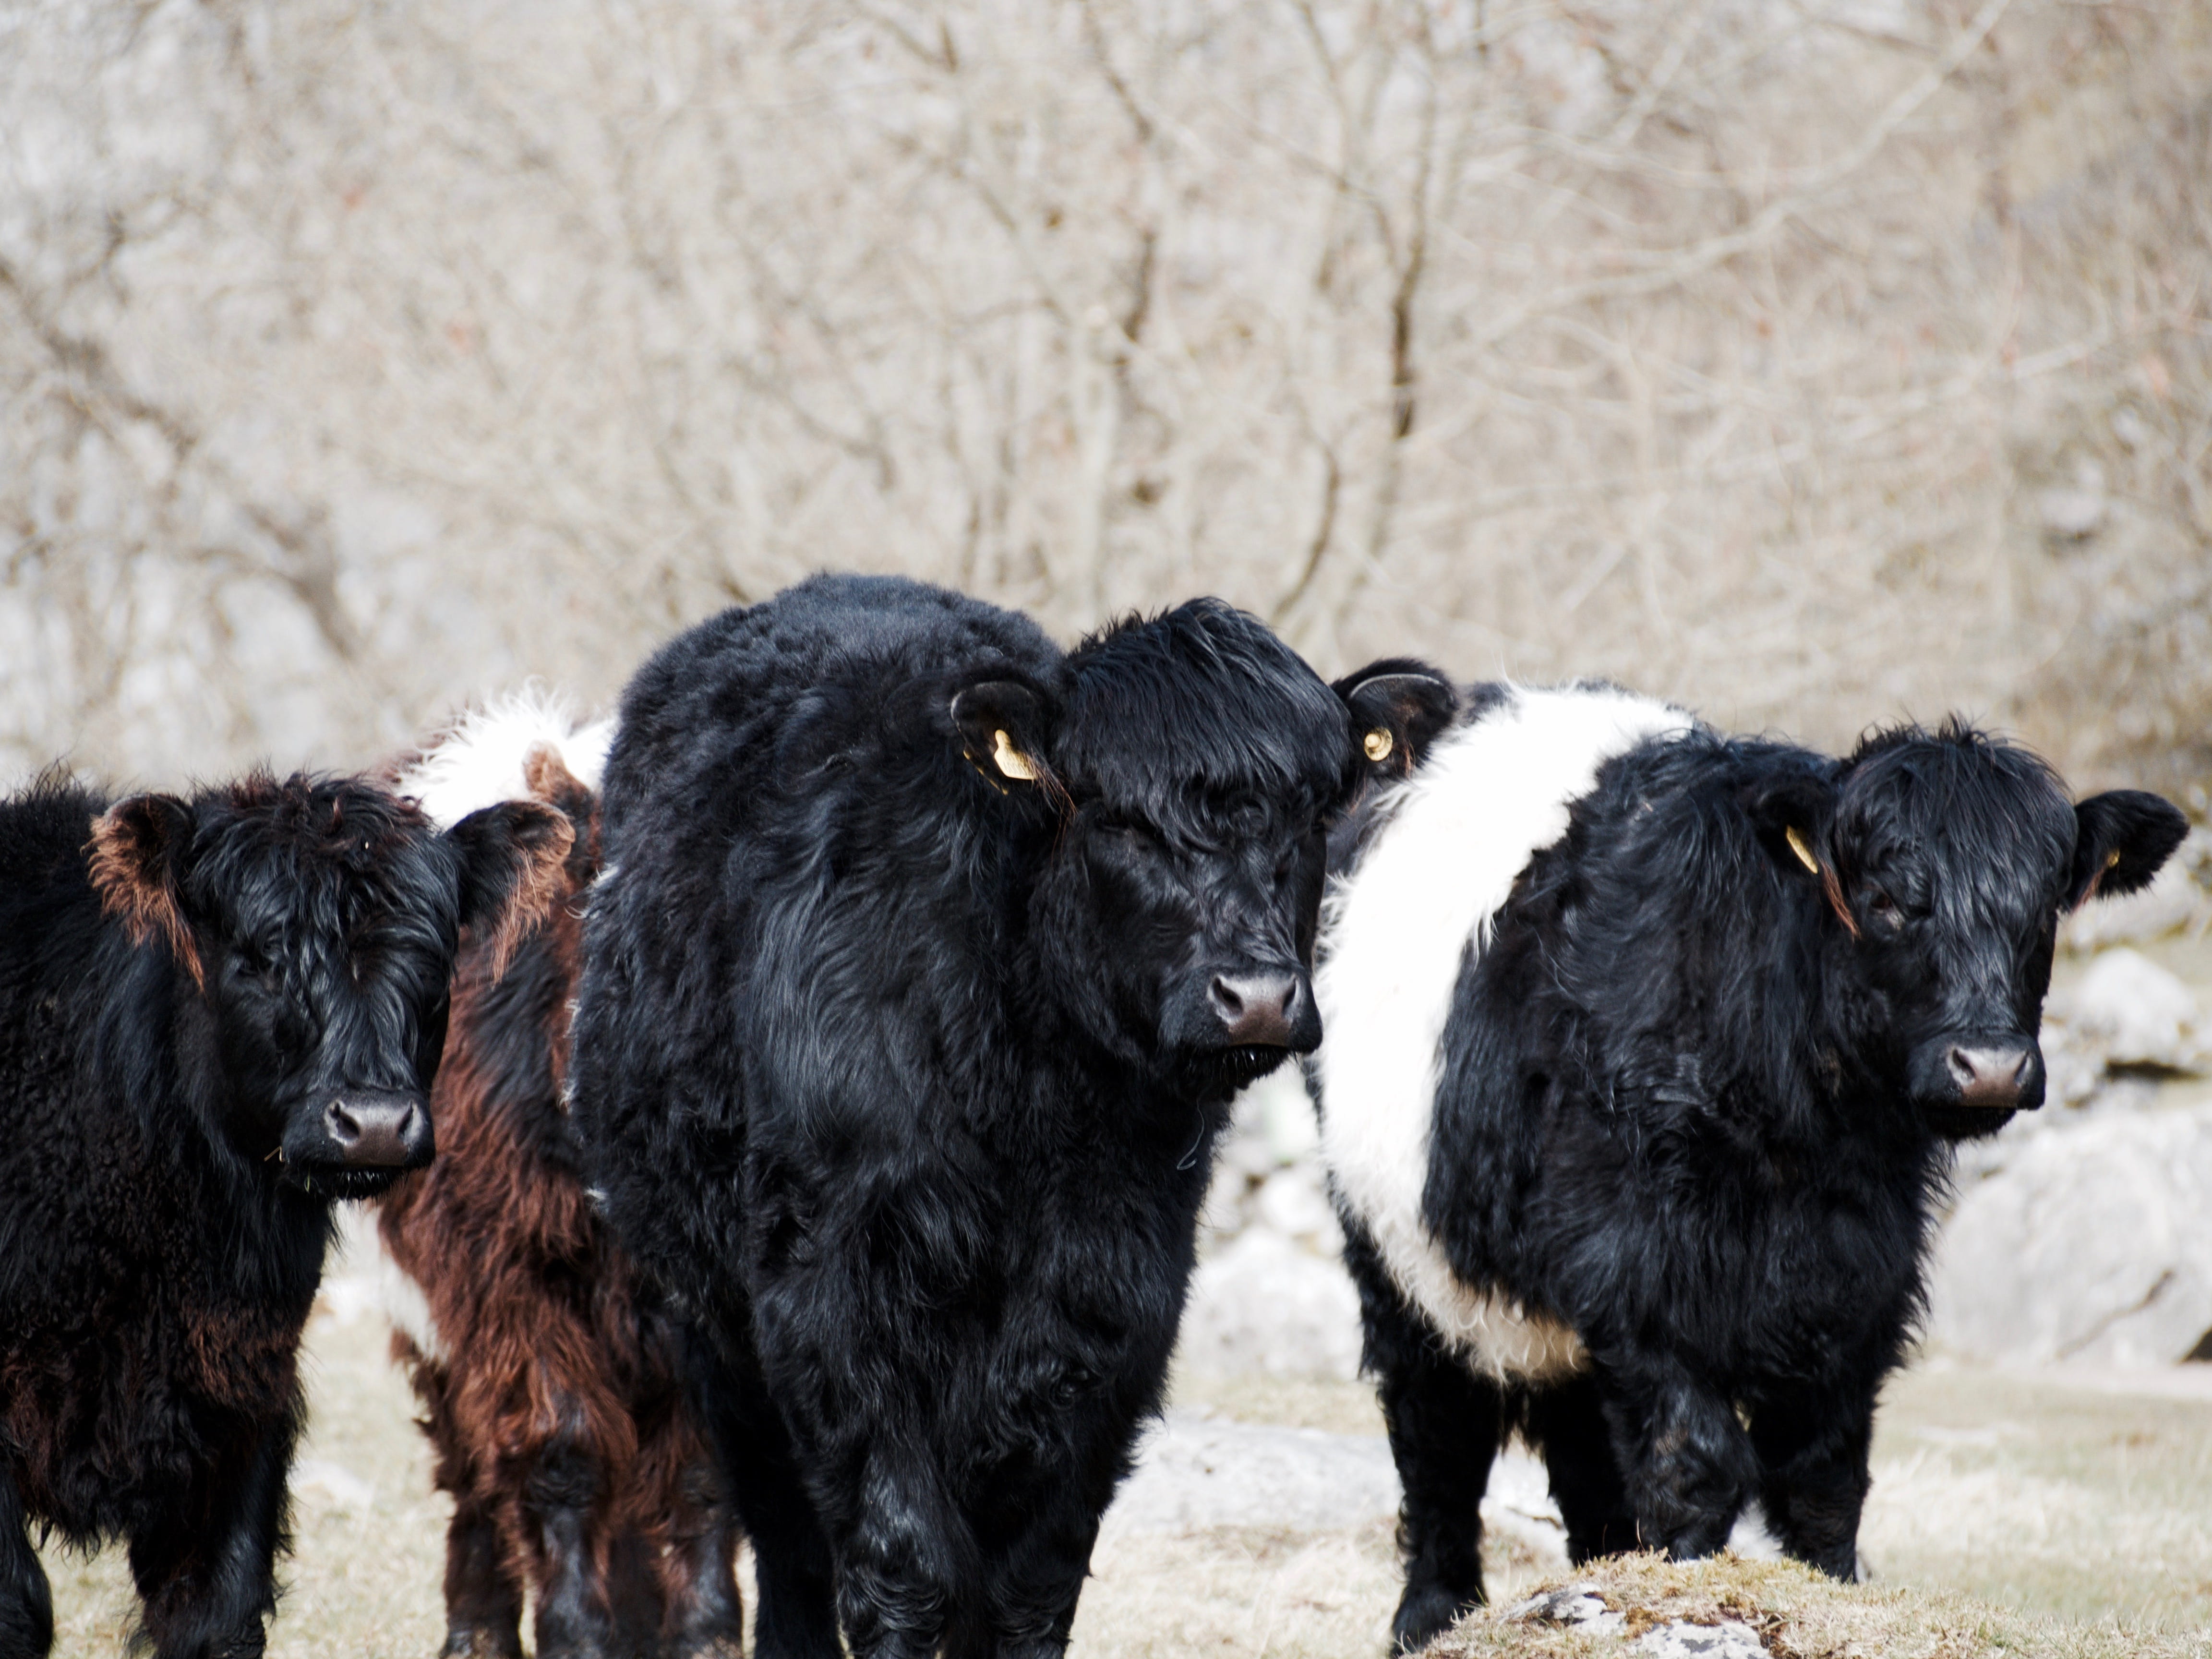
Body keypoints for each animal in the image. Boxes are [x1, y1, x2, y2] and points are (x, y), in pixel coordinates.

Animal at [0, 768, 568, 1659]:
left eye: (435, 955)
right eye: (260, 955)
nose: (374, 1120)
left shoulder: (240, 1403)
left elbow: (219, 1608)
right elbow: (19, 1603)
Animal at [375, 695, 743, 1659]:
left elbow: (701, 1472)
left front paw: (704, 1634)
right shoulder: (509, 1288)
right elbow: (558, 1455)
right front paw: (575, 1632)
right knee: (472, 1468)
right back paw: (478, 1629)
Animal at [568, 574, 1449, 1659]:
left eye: (1311, 813)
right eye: (1119, 819)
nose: (1256, 997)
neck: (1029, 1111)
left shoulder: (1119, 1307)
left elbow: (1033, 1581)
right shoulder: (834, 1299)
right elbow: (904, 1561)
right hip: (708, 1314)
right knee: (786, 1538)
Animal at [1309, 680, 2190, 1653]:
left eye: (2043, 910)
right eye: (1885, 900)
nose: (1990, 1065)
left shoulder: (1858, 1289)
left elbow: (1823, 1481)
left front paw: (1827, 1596)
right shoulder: (1639, 1281)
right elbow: (1696, 1465)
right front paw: (1691, 1593)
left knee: (1582, 1466)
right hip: (1403, 1267)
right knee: (1438, 1447)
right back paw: (1431, 1619)